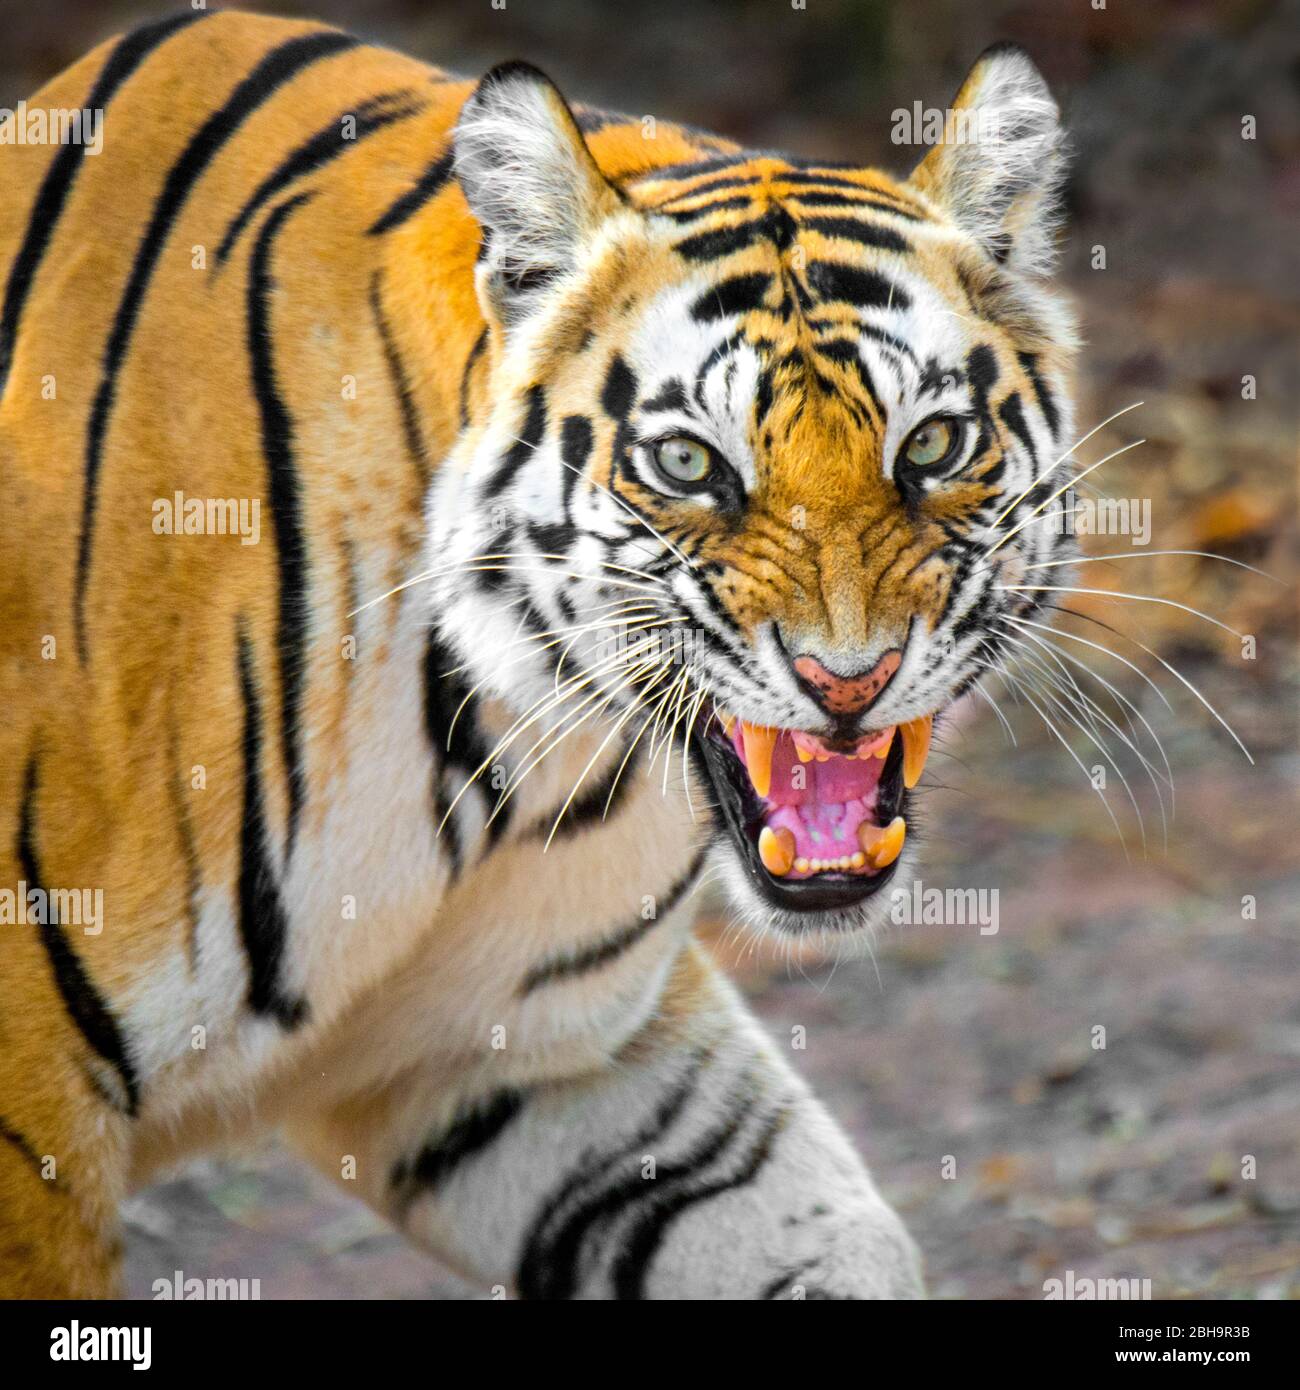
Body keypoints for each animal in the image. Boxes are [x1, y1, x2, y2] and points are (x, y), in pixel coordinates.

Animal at [0, 8, 1078, 1301]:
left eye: (931, 444)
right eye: (688, 463)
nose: (846, 678)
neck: (514, 738)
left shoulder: (536, 1066)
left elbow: (830, 1234)